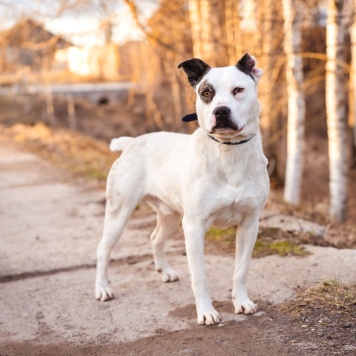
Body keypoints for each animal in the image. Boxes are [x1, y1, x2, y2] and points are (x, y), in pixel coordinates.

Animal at [95, 53, 270, 326]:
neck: (228, 152)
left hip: (170, 215)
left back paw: (165, 271)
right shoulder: (194, 227)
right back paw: (103, 289)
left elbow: (241, 270)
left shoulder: (249, 224)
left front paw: (241, 302)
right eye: (206, 92)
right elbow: (200, 276)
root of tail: (132, 142)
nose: (221, 111)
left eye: (238, 90)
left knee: (155, 238)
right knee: (103, 249)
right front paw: (206, 312)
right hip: (119, 213)